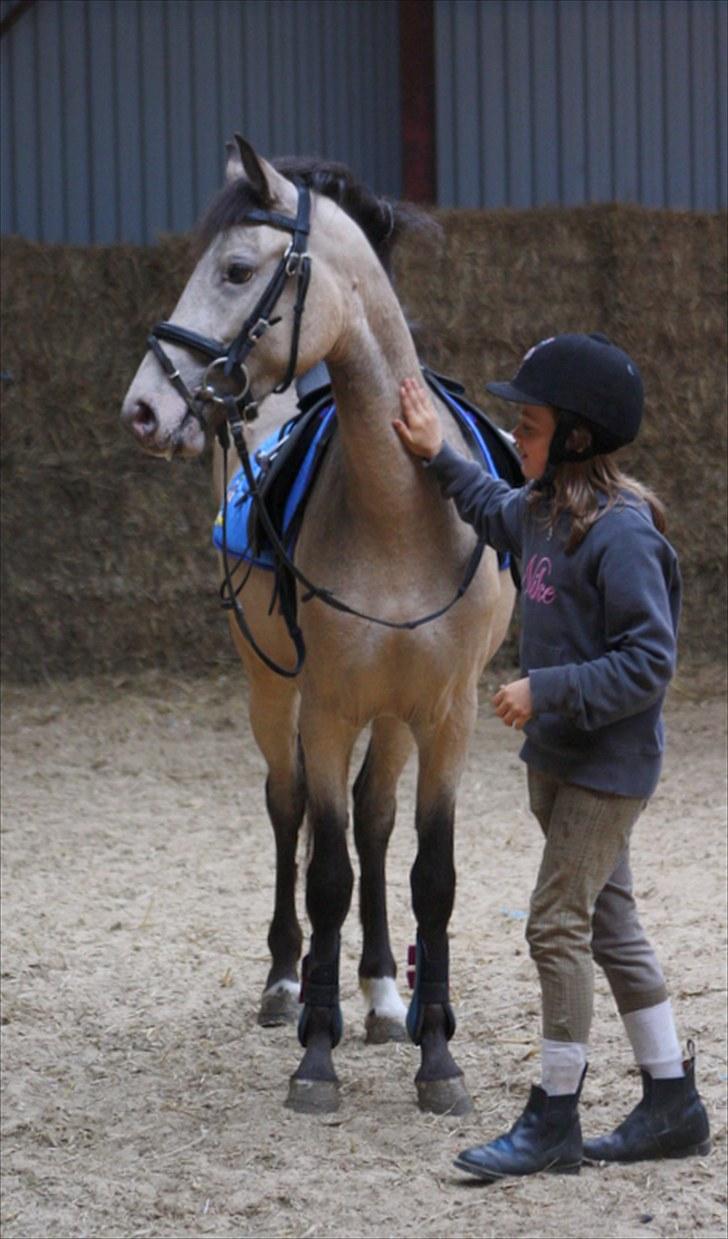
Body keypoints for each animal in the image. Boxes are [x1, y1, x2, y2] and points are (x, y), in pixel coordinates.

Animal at [122, 135, 515, 1115]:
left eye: (234, 268)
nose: (145, 407)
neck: (398, 509)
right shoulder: (329, 707)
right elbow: (327, 869)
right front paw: (316, 1052)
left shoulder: (445, 715)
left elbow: (428, 874)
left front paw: (436, 1053)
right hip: (273, 691)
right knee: (288, 807)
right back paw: (287, 981)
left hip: (393, 716)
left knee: (374, 821)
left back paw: (380, 992)